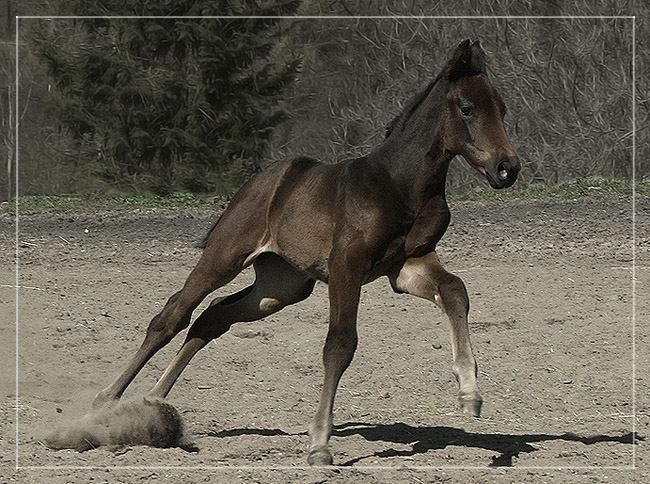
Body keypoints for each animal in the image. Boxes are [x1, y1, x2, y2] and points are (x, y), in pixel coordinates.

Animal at [93, 40, 520, 466]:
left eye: (502, 108)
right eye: (467, 108)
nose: (507, 168)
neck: (400, 185)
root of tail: (260, 183)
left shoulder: (407, 264)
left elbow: (455, 291)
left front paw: (470, 393)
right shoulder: (347, 266)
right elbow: (340, 344)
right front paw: (319, 444)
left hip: (280, 286)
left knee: (213, 316)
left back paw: (154, 404)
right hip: (225, 255)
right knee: (172, 316)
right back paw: (103, 404)